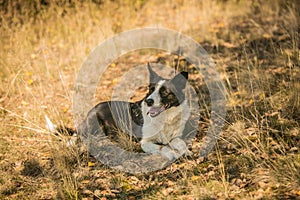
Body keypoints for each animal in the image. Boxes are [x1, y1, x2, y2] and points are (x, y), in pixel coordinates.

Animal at [47, 63, 192, 161]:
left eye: (164, 92)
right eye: (151, 89)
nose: (148, 101)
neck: (165, 119)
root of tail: (92, 109)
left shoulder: (175, 137)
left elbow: (181, 143)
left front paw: (186, 151)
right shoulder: (145, 142)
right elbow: (162, 147)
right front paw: (172, 153)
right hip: (93, 124)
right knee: (78, 135)